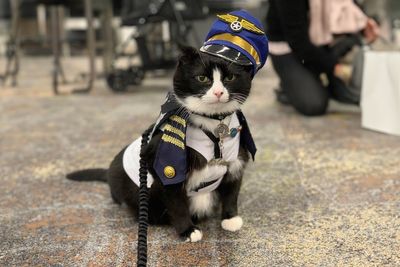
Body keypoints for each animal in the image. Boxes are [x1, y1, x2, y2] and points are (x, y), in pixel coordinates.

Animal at [65, 46, 253, 243]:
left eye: (229, 78)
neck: (214, 127)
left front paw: (230, 219)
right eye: (202, 78)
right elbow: (176, 201)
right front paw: (188, 230)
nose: (218, 93)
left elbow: (232, 191)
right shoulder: (165, 164)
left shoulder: (236, 159)